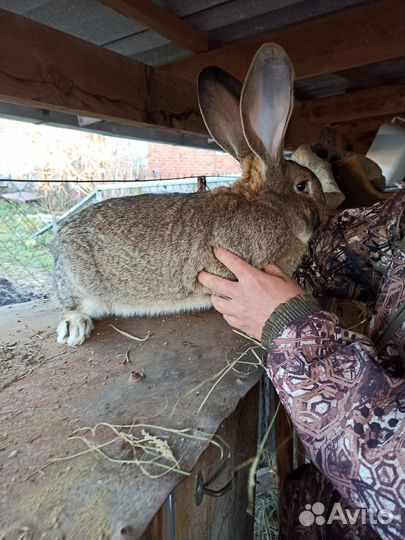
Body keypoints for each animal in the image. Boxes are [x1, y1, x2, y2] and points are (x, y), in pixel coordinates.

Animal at [55, 42, 326, 346]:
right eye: (302, 186)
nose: (324, 213)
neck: (270, 206)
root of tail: (60, 236)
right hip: (80, 286)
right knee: (71, 305)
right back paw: (74, 328)